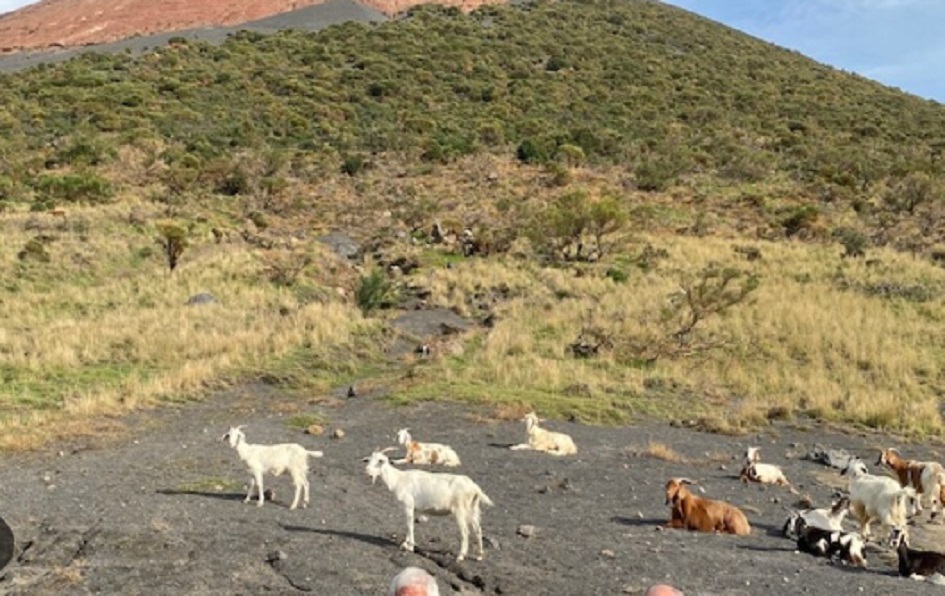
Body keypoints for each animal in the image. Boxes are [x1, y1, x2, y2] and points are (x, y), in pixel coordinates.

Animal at [364, 450, 494, 560]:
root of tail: (475, 488)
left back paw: (460, 556)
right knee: (478, 530)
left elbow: (409, 525)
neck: (398, 479)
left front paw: (410, 547)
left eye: (379, 462)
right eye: (369, 460)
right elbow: (409, 525)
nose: (367, 472)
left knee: (465, 532)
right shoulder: (413, 508)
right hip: (473, 509)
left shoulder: (408, 505)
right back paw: (479, 556)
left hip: (460, 510)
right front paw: (405, 544)